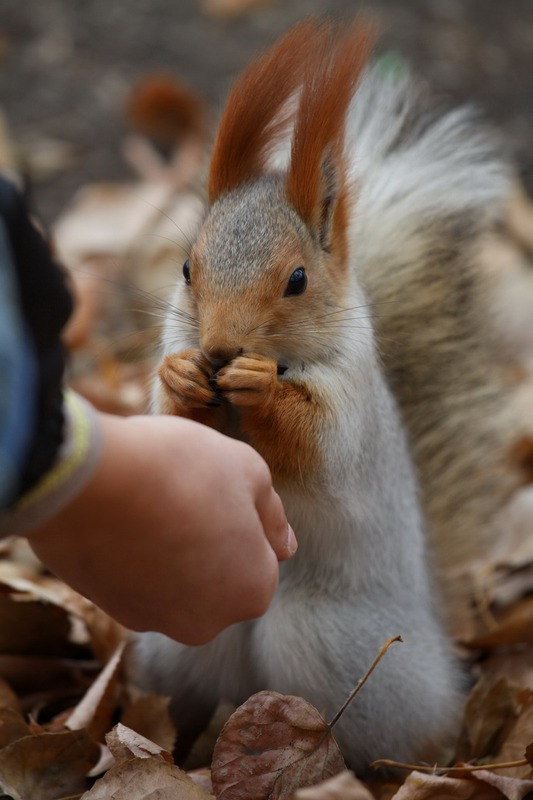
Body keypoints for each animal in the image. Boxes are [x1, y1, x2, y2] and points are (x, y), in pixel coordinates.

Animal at [129, 17, 532, 768]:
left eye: (297, 280)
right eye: (186, 268)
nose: (220, 351)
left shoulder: (351, 402)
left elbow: (317, 447)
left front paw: (260, 388)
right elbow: (178, 429)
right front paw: (181, 379)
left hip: (324, 636)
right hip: (182, 627)